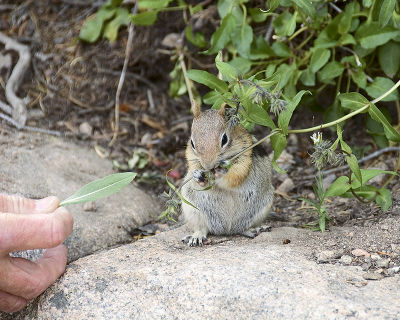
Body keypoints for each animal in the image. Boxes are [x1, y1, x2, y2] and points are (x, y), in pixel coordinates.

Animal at [182, 104, 274, 246]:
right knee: (202, 228)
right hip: (192, 210)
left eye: (224, 139)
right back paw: (196, 237)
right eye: (192, 142)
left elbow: (234, 176)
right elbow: (194, 166)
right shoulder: (191, 157)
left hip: (262, 208)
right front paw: (198, 176)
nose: (208, 166)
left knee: (243, 228)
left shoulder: (244, 156)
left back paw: (254, 230)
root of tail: (227, 229)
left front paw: (221, 173)